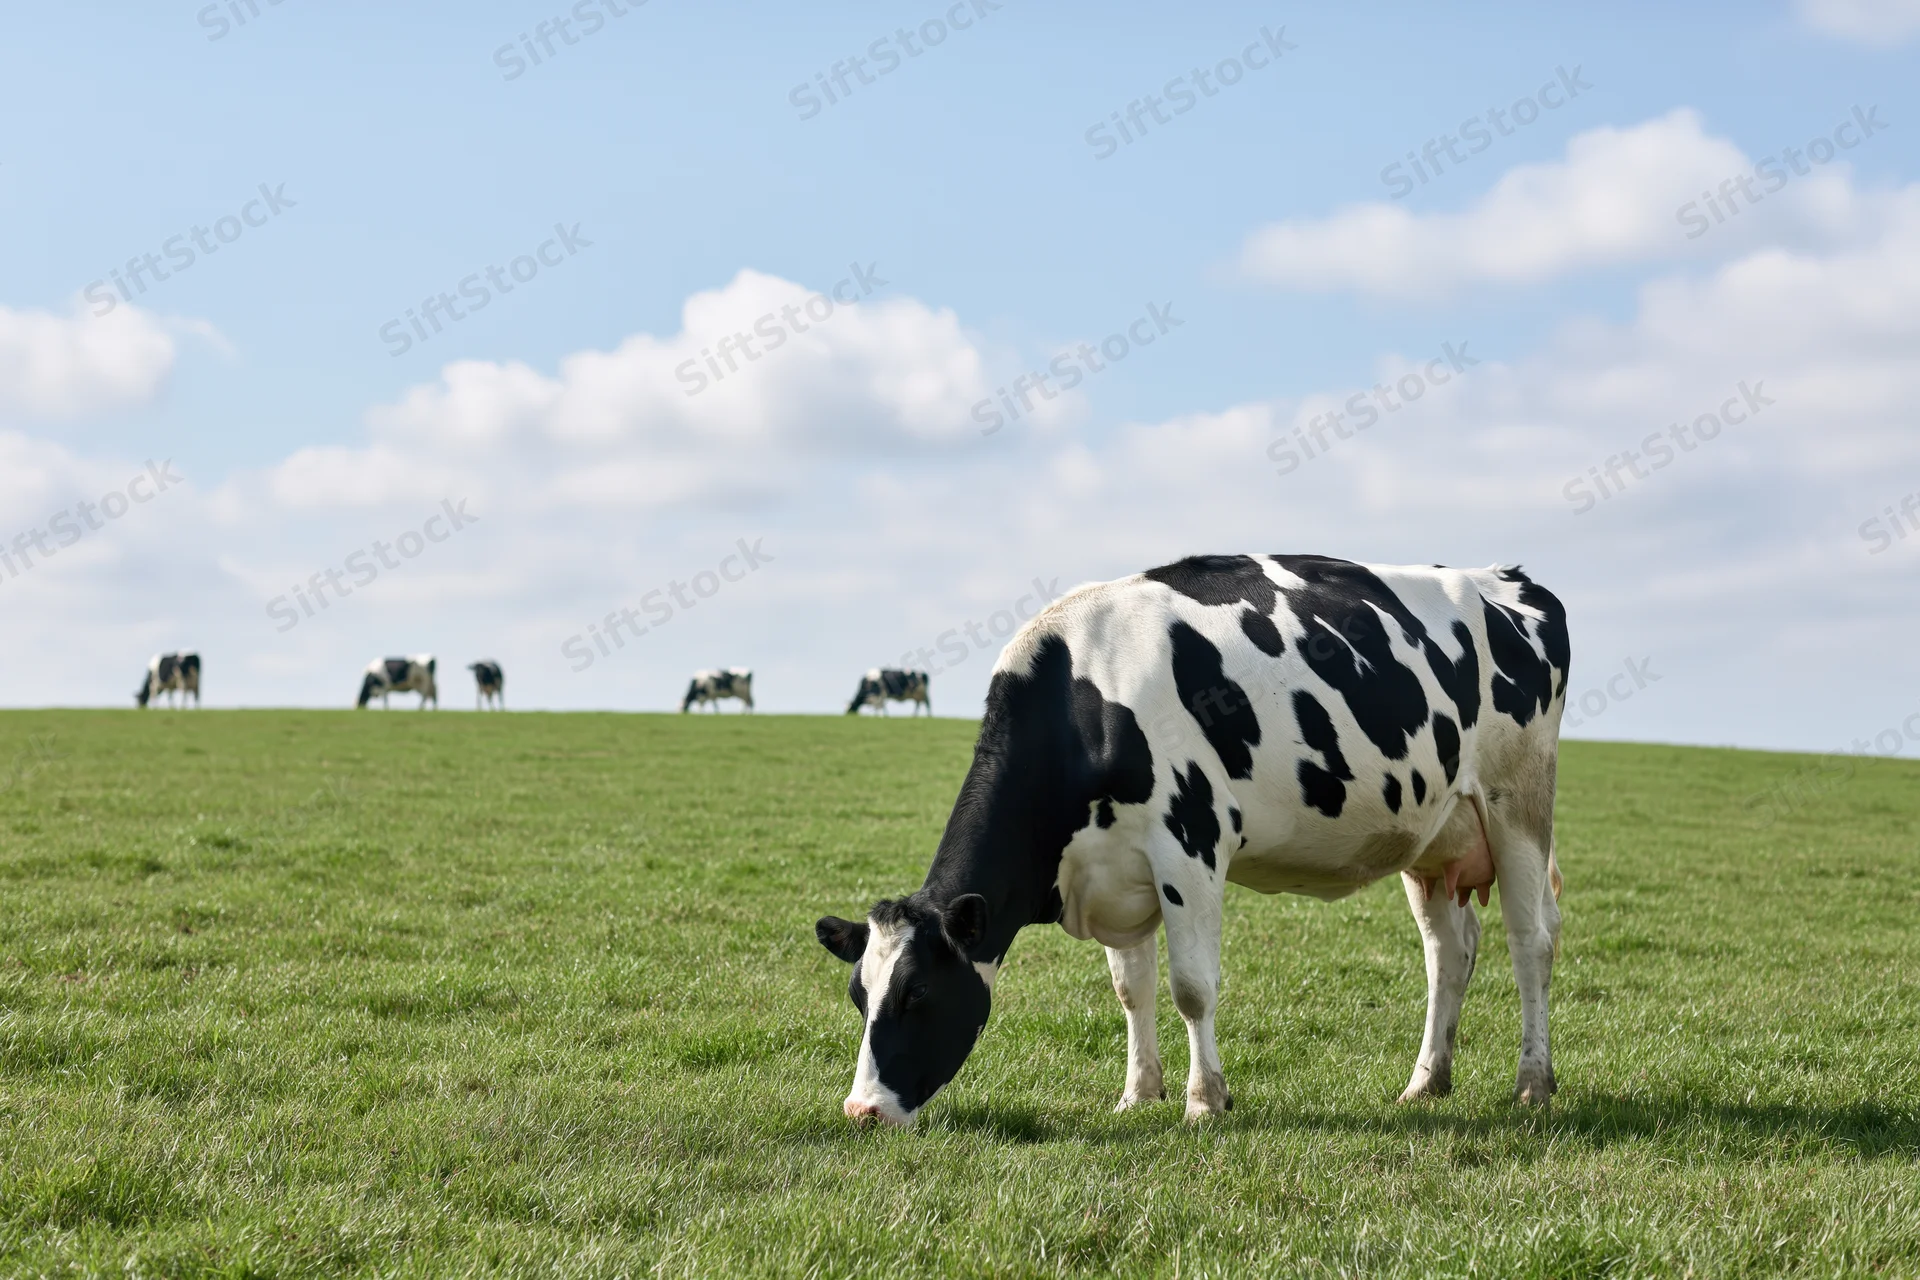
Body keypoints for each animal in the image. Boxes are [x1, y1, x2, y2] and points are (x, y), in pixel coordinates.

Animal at [815, 555, 1569, 1127]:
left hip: (1517, 802)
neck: (1088, 697)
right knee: (1449, 954)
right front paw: (1136, 1094)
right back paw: (1425, 1082)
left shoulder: (1191, 844)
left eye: (918, 993)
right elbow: (1132, 989)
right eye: (858, 996)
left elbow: (1191, 988)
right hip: (1435, 835)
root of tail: (1510, 578)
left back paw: (1533, 1082)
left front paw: (1204, 1101)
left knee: (1530, 941)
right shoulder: (1112, 868)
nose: (862, 1110)